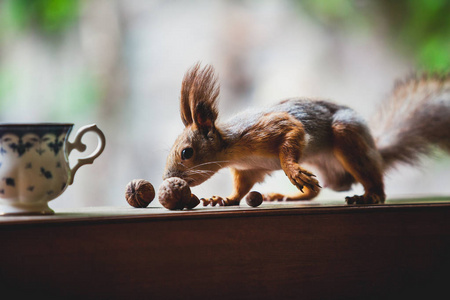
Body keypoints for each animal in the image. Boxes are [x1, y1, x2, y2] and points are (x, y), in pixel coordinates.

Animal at [163, 62, 448, 204]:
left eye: (186, 152)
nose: (168, 179)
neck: (231, 149)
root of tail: (375, 149)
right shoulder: (248, 170)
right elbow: (242, 188)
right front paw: (225, 199)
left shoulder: (267, 129)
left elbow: (292, 135)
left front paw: (291, 170)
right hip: (322, 167)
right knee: (316, 191)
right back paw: (287, 196)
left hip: (349, 137)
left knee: (372, 176)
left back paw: (371, 195)